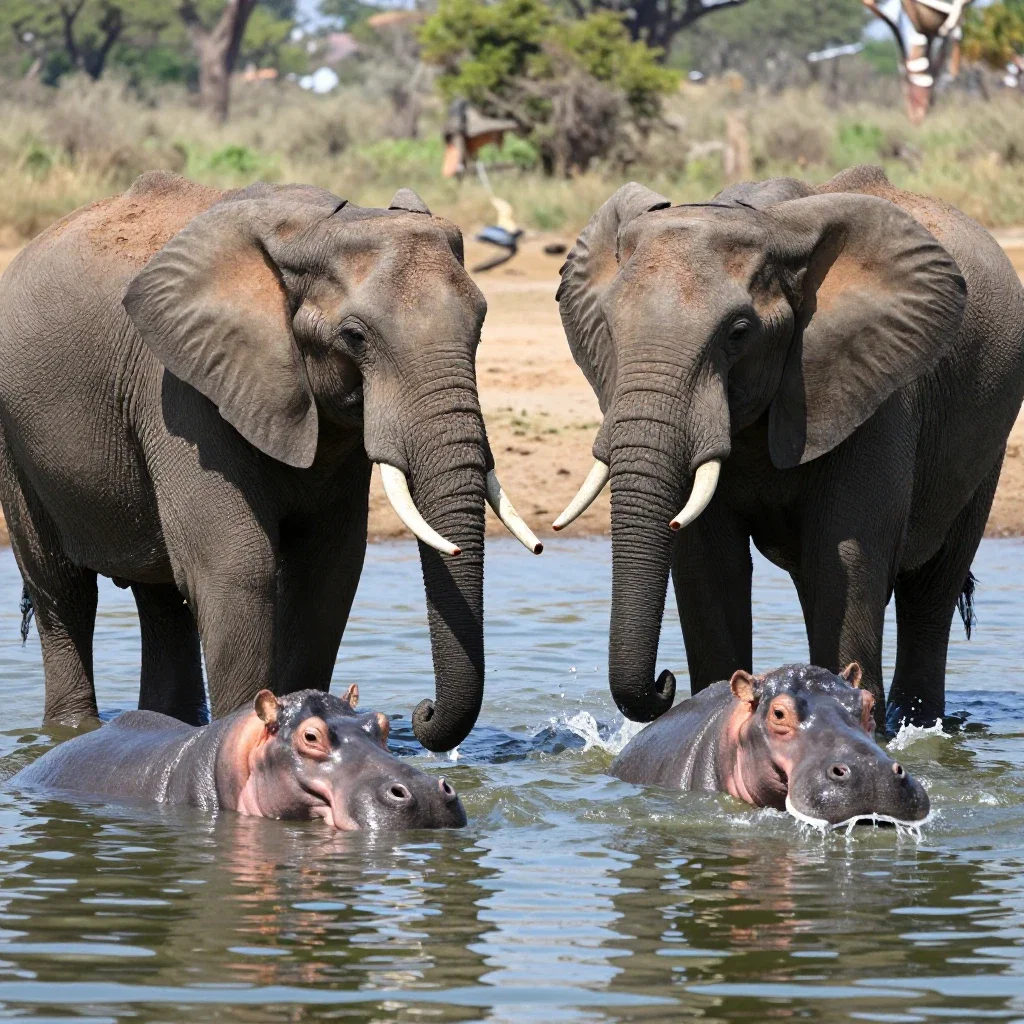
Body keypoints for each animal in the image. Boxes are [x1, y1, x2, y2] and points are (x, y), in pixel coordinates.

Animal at [0, 171, 540, 752]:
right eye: (355, 337)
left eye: (480, 327)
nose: (422, 711)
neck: (315, 229)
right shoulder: (182, 391)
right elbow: (236, 568)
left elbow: (328, 570)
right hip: (16, 439)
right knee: (62, 591)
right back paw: (70, 732)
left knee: (161, 599)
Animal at [554, 164, 1024, 731]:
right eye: (608, 326)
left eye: (738, 332)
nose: (663, 682)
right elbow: (709, 562)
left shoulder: (875, 392)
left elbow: (845, 556)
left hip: (985, 443)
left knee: (930, 592)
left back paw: (923, 726)